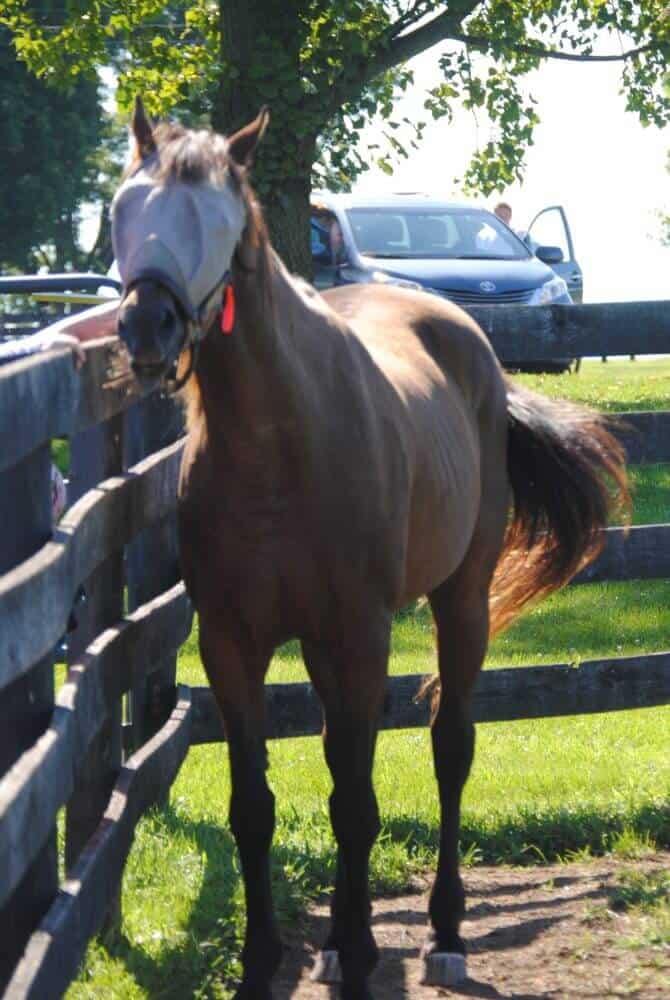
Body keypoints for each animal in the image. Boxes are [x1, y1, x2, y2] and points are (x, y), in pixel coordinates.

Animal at [112, 98, 629, 999]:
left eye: (217, 218)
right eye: (122, 209)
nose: (148, 325)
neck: (278, 447)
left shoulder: (359, 634)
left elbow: (356, 805)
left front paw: (358, 955)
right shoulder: (231, 646)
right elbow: (257, 807)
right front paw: (262, 962)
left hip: (459, 602)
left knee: (450, 747)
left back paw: (445, 932)